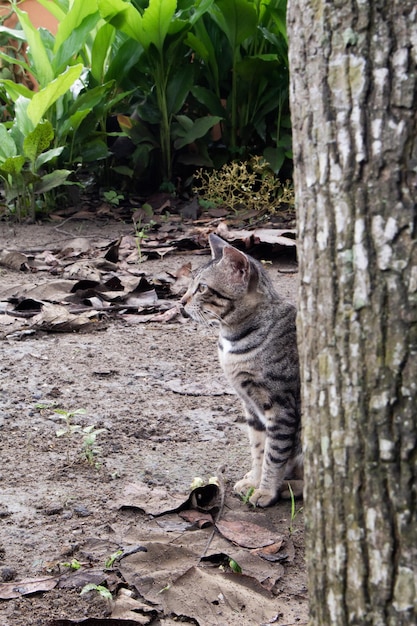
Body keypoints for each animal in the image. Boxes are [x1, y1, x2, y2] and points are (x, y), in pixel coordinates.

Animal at [180, 232, 302, 504]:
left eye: (202, 288)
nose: (180, 302)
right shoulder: (251, 407)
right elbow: (258, 449)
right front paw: (254, 481)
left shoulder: (281, 407)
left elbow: (274, 455)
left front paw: (266, 491)